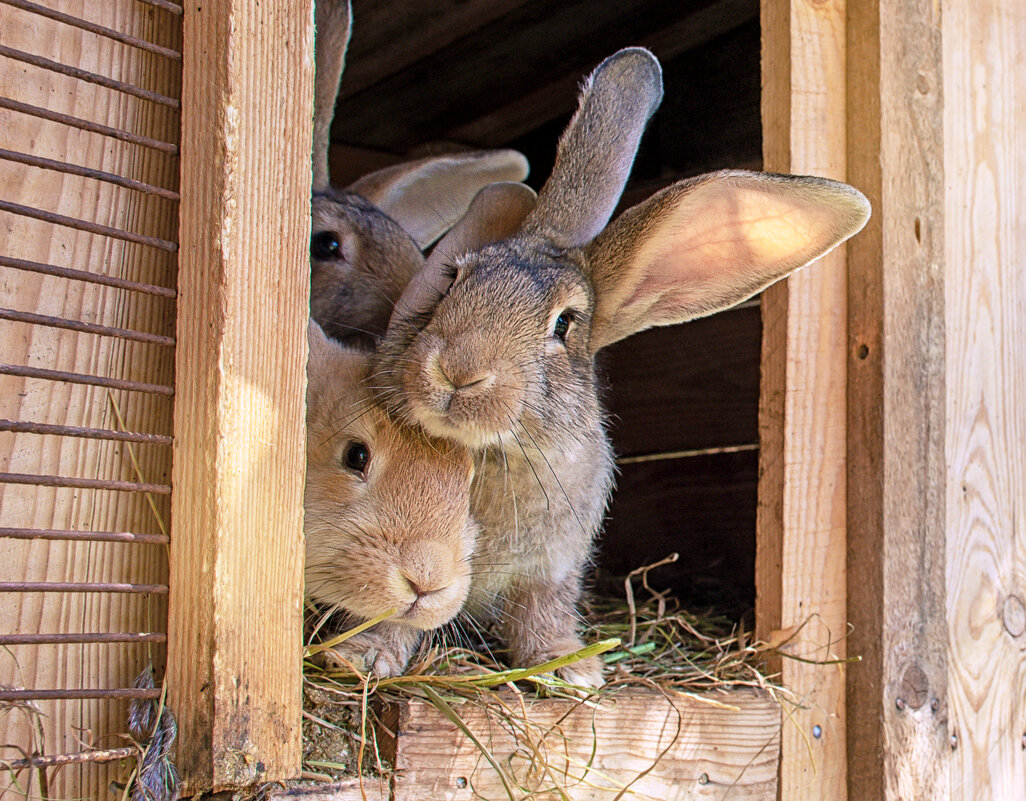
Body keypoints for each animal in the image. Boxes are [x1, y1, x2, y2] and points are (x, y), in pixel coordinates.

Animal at [377, 46, 874, 685]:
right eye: (453, 280)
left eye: (564, 324)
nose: (456, 370)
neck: (499, 454)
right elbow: (396, 613)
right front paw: (364, 658)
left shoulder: (553, 570)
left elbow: (542, 614)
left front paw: (571, 671)